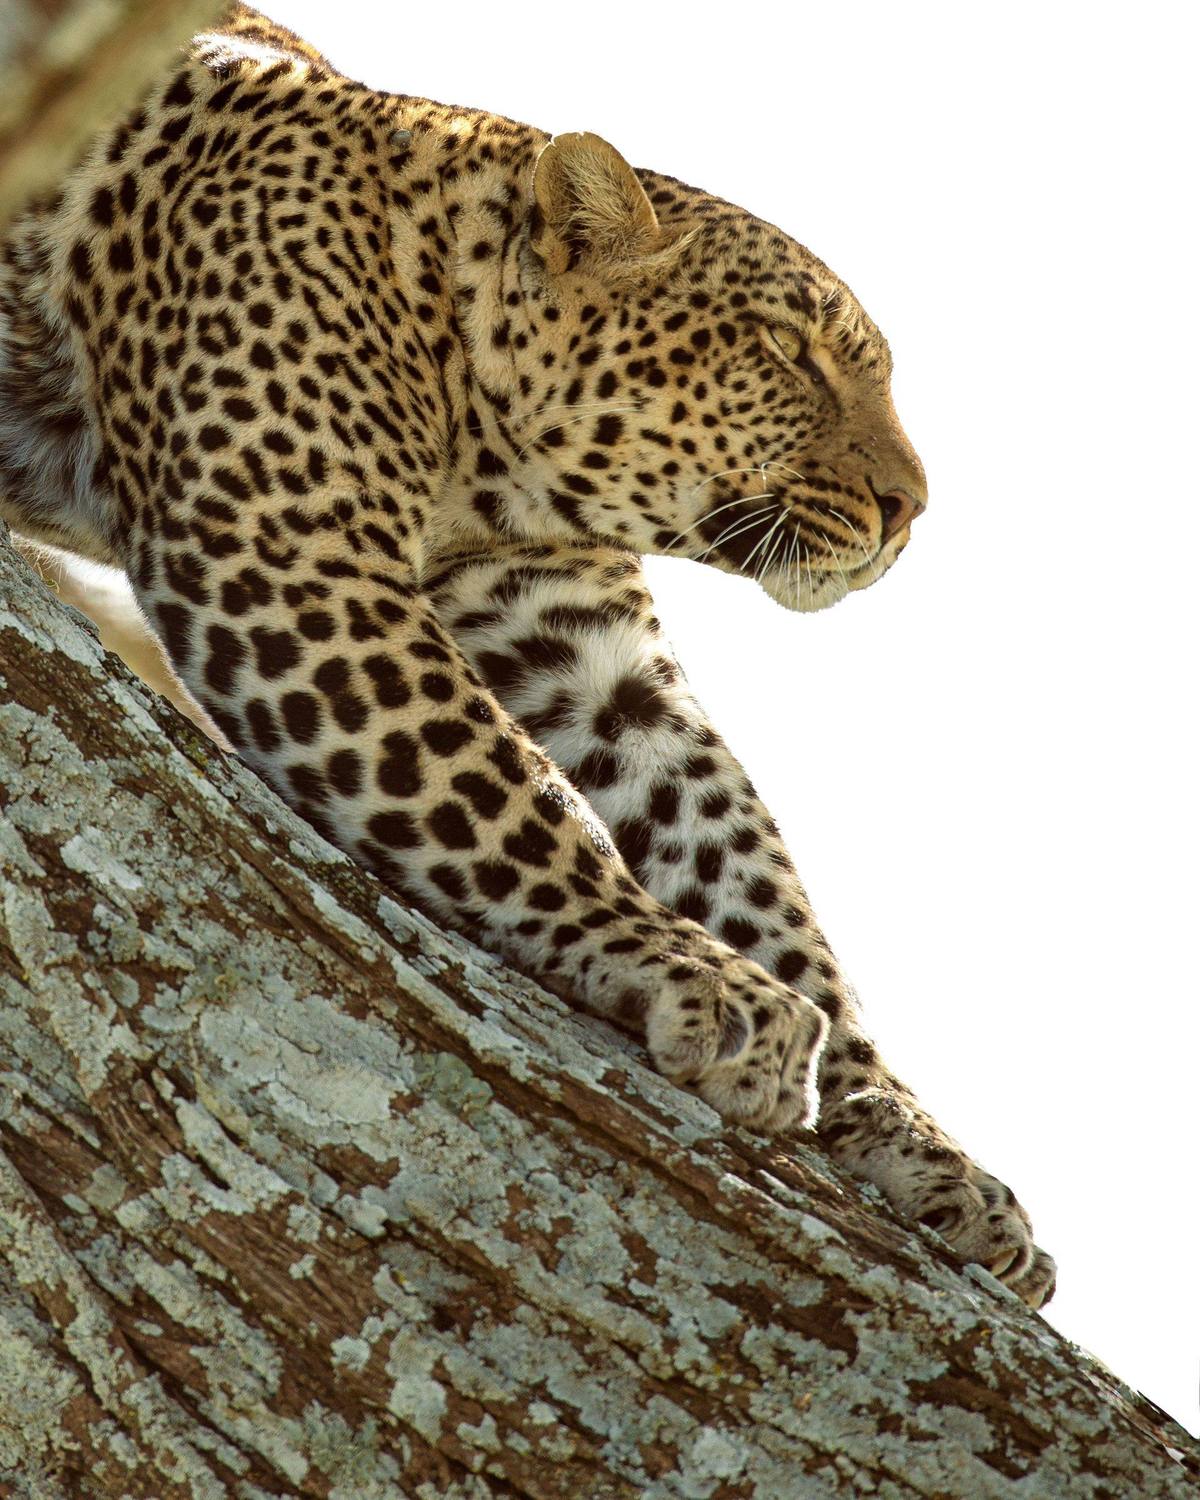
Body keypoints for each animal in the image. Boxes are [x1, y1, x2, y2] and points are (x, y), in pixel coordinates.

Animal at [0, 5, 1055, 1306]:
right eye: (786, 350)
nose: (912, 509)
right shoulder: (294, 553)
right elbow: (510, 799)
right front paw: (707, 984)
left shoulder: (594, 658)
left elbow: (749, 868)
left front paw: (912, 1141)